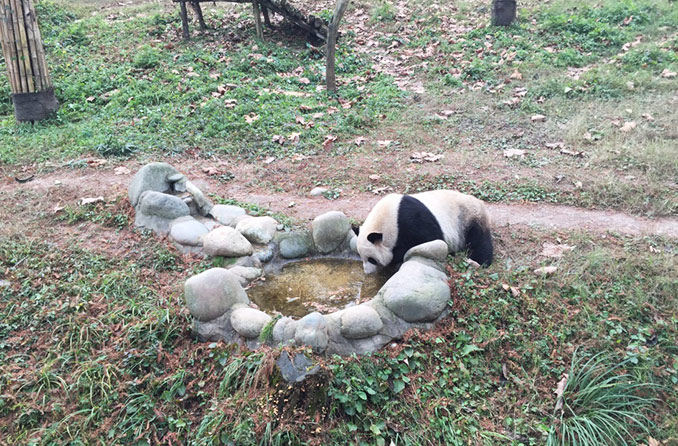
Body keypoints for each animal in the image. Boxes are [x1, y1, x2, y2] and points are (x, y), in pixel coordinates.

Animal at [356, 190, 494, 274]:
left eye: (371, 259)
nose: (366, 272)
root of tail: (481, 203)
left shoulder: (412, 221)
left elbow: (432, 238)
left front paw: (396, 256)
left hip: (469, 218)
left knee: (479, 242)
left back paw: (479, 262)